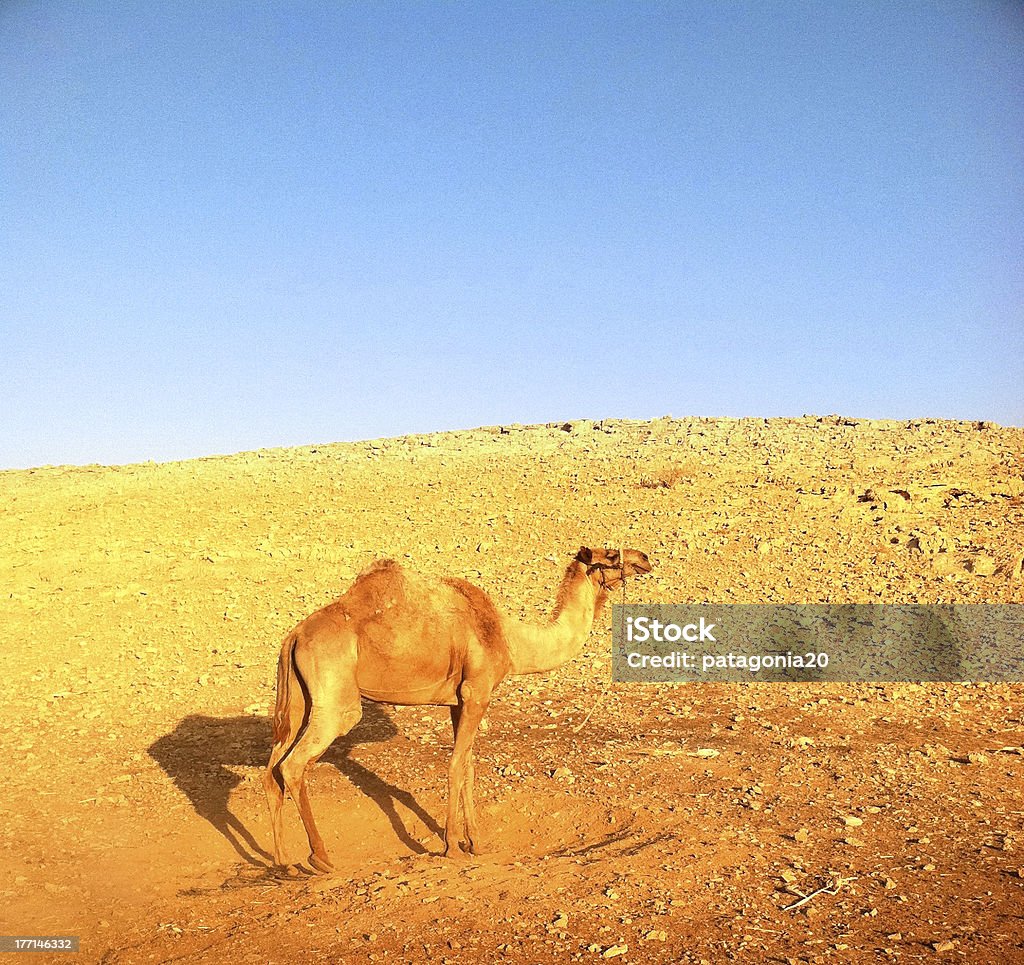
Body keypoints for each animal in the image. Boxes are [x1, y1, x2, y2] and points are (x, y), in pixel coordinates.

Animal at [260, 544, 651, 876]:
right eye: (611, 555)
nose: (645, 558)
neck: (509, 638)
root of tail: (294, 637)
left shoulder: (459, 702)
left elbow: (468, 767)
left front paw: (476, 842)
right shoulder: (477, 692)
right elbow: (455, 766)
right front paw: (452, 846)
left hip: (301, 701)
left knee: (273, 765)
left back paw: (283, 863)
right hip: (336, 700)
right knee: (294, 764)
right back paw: (321, 858)